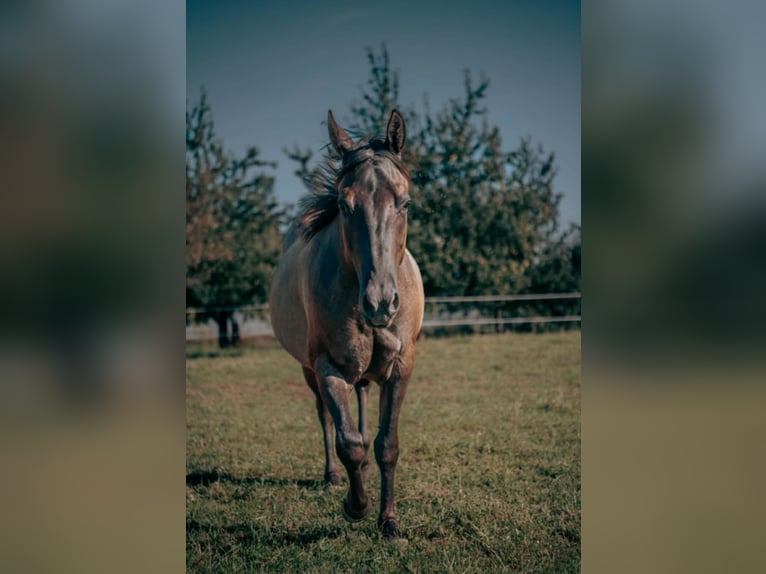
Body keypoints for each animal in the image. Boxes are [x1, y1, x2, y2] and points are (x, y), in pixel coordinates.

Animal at [269, 109, 424, 539]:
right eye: (344, 202)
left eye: (405, 203)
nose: (380, 303)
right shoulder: (327, 368)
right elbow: (348, 442)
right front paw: (357, 506)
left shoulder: (401, 366)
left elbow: (386, 443)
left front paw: (389, 520)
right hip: (309, 369)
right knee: (326, 418)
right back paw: (333, 477)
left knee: (364, 400)